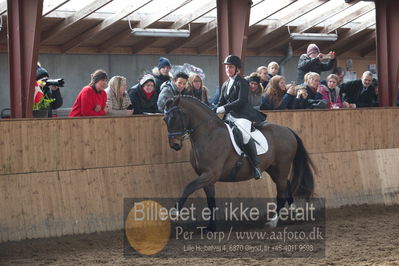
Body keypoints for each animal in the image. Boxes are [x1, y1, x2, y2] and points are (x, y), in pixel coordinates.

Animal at [162, 95, 316, 229]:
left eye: (174, 117)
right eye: (164, 119)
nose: (175, 145)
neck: (208, 134)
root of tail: (287, 130)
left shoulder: (211, 174)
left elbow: (188, 187)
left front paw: (175, 211)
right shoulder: (206, 177)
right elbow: (210, 202)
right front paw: (211, 228)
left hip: (282, 167)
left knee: (281, 193)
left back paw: (273, 222)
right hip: (273, 169)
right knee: (287, 185)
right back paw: (296, 213)